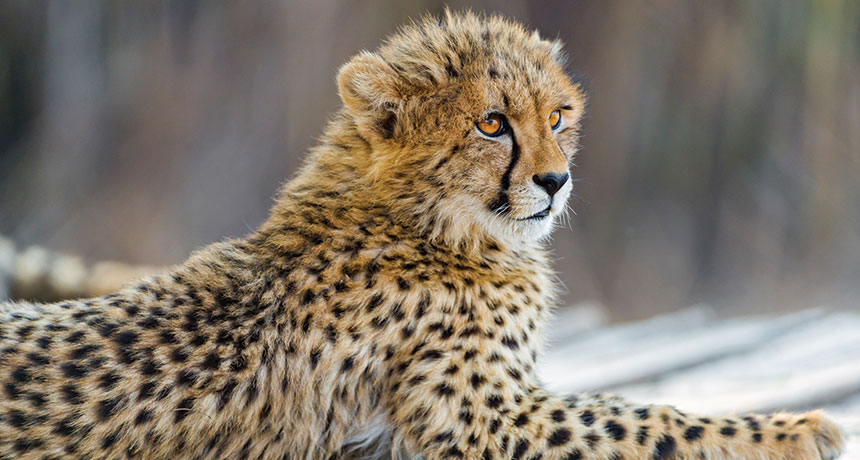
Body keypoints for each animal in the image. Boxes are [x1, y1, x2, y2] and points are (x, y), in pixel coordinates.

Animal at [0, 10, 844, 460]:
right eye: (493, 124)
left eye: (558, 116)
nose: (556, 181)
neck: (425, 218)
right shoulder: (482, 420)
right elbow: (637, 417)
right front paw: (794, 427)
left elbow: (622, 408)